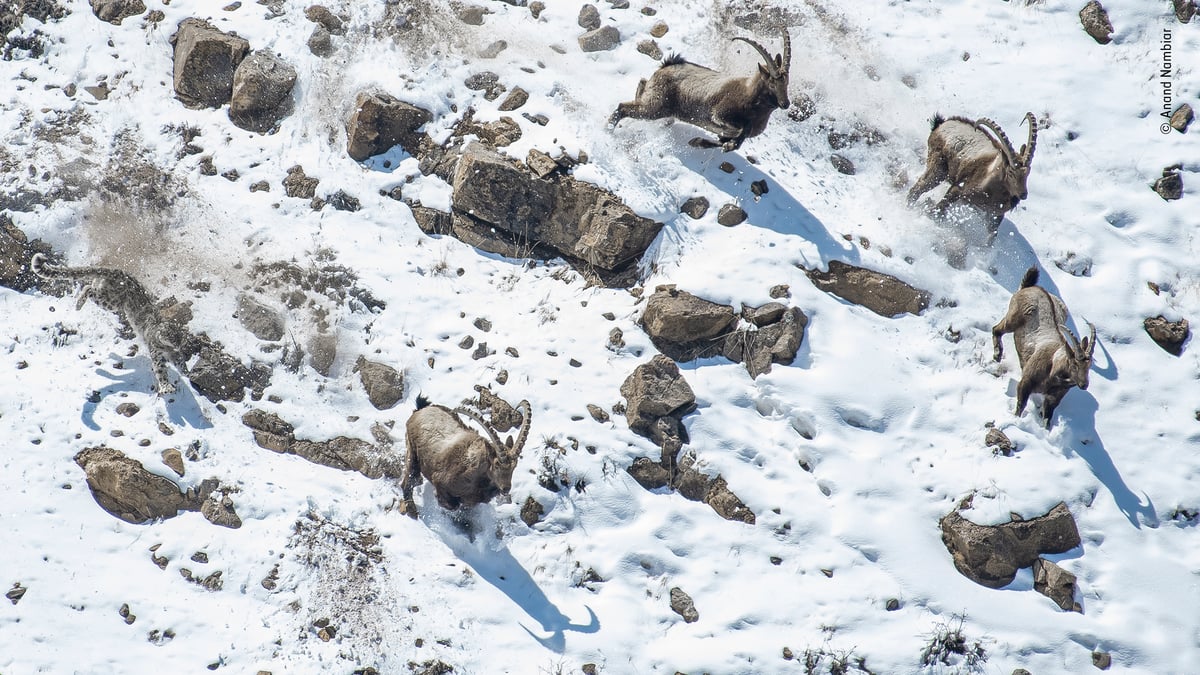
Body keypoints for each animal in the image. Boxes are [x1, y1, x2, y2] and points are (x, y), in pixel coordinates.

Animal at [32, 254, 189, 396]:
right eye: (171, 337)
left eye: (180, 338)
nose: (178, 346)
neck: (167, 349)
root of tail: (116, 270)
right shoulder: (157, 354)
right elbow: (161, 370)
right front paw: (166, 387)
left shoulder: (174, 355)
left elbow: (180, 363)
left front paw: (186, 373)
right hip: (110, 301)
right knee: (89, 288)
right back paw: (78, 304)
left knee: (90, 286)